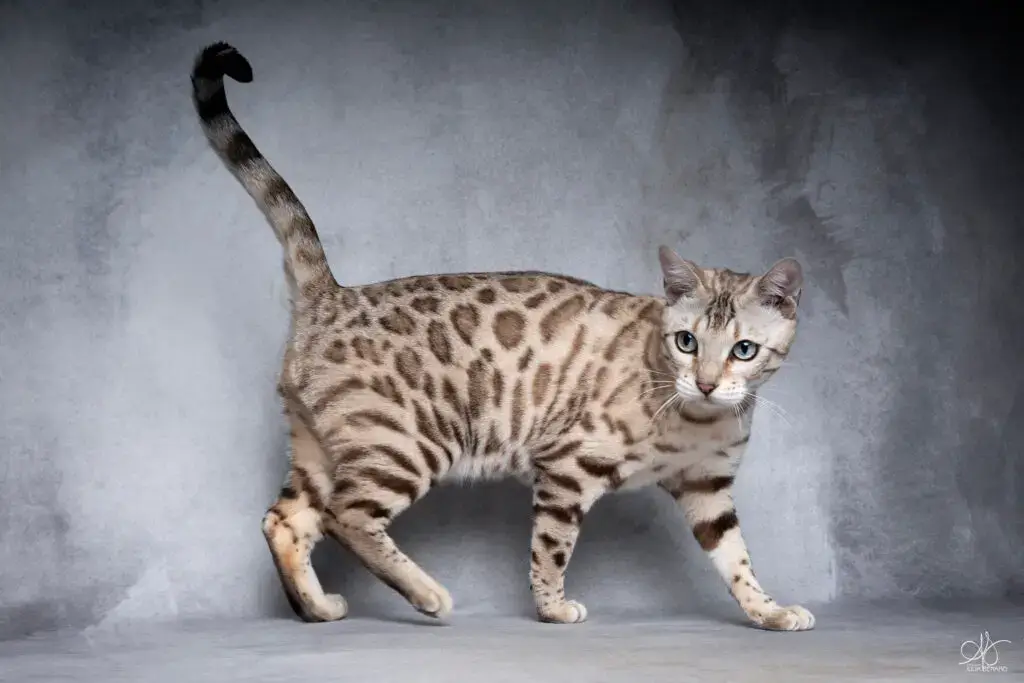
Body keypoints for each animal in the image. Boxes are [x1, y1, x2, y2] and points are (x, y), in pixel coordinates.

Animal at [190, 42, 813, 631]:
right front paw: (553, 610)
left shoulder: (708, 490)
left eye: (743, 350)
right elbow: (551, 549)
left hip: (319, 448)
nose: (705, 383)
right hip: (407, 443)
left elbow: (738, 563)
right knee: (348, 516)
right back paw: (428, 595)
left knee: (284, 520)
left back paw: (318, 608)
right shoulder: (566, 467)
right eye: (686, 342)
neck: (697, 420)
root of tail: (331, 293)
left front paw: (771, 612)